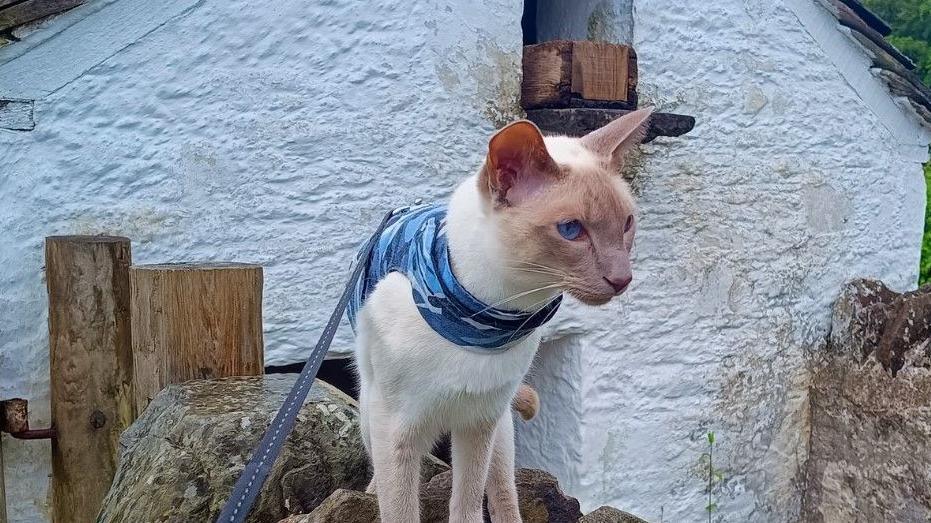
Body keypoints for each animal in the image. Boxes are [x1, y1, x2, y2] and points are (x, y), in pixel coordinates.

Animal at [354, 108, 652, 520]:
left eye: (626, 224)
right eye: (571, 230)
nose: (622, 279)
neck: (489, 318)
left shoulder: (478, 422)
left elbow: (466, 505)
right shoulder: (396, 430)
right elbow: (399, 508)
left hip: (498, 426)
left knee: (501, 487)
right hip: (371, 410)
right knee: (380, 474)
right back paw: (368, 493)